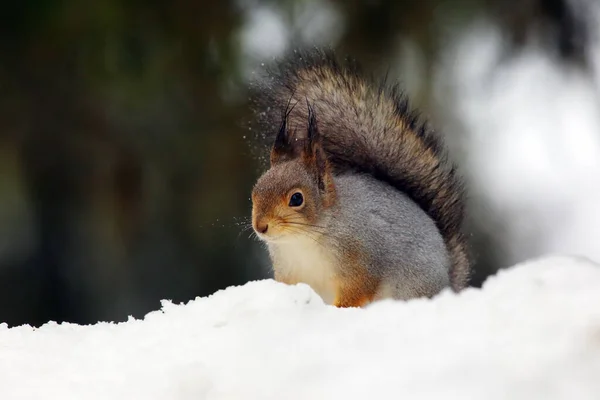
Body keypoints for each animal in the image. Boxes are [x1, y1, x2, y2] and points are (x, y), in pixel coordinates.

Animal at [248, 49, 468, 306]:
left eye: (296, 199)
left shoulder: (362, 260)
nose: (260, 226)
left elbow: (359, 289)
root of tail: (448, 284)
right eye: (255, 193)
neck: (303, 240)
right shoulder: (289, 272)